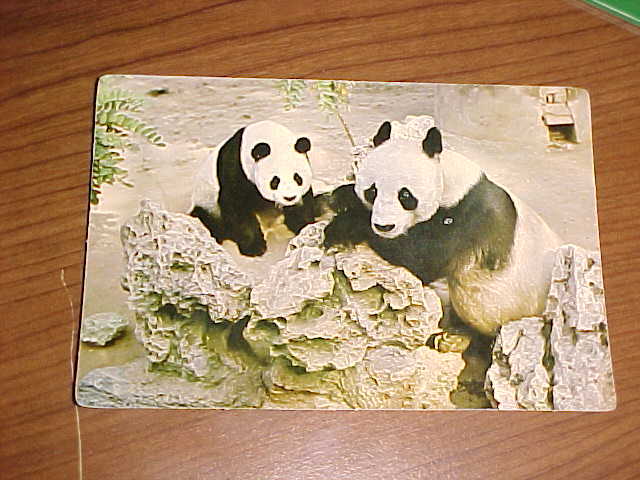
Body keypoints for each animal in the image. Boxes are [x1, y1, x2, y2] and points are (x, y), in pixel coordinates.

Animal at [190, 120, 316, 257]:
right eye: (275, 181)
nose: (289, 197)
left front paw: (302, 227)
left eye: (298, 178)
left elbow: (303, 204)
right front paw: (255, 248)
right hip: (207, 204)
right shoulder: (236, 169)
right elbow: (237, 207)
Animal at [324, 121, 563, 338]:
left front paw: (342, 227)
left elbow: (421, 259)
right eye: (372, 191)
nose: (384, 226)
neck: (448, 180)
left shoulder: (469, 218)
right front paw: (341, 196)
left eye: (405, 195)